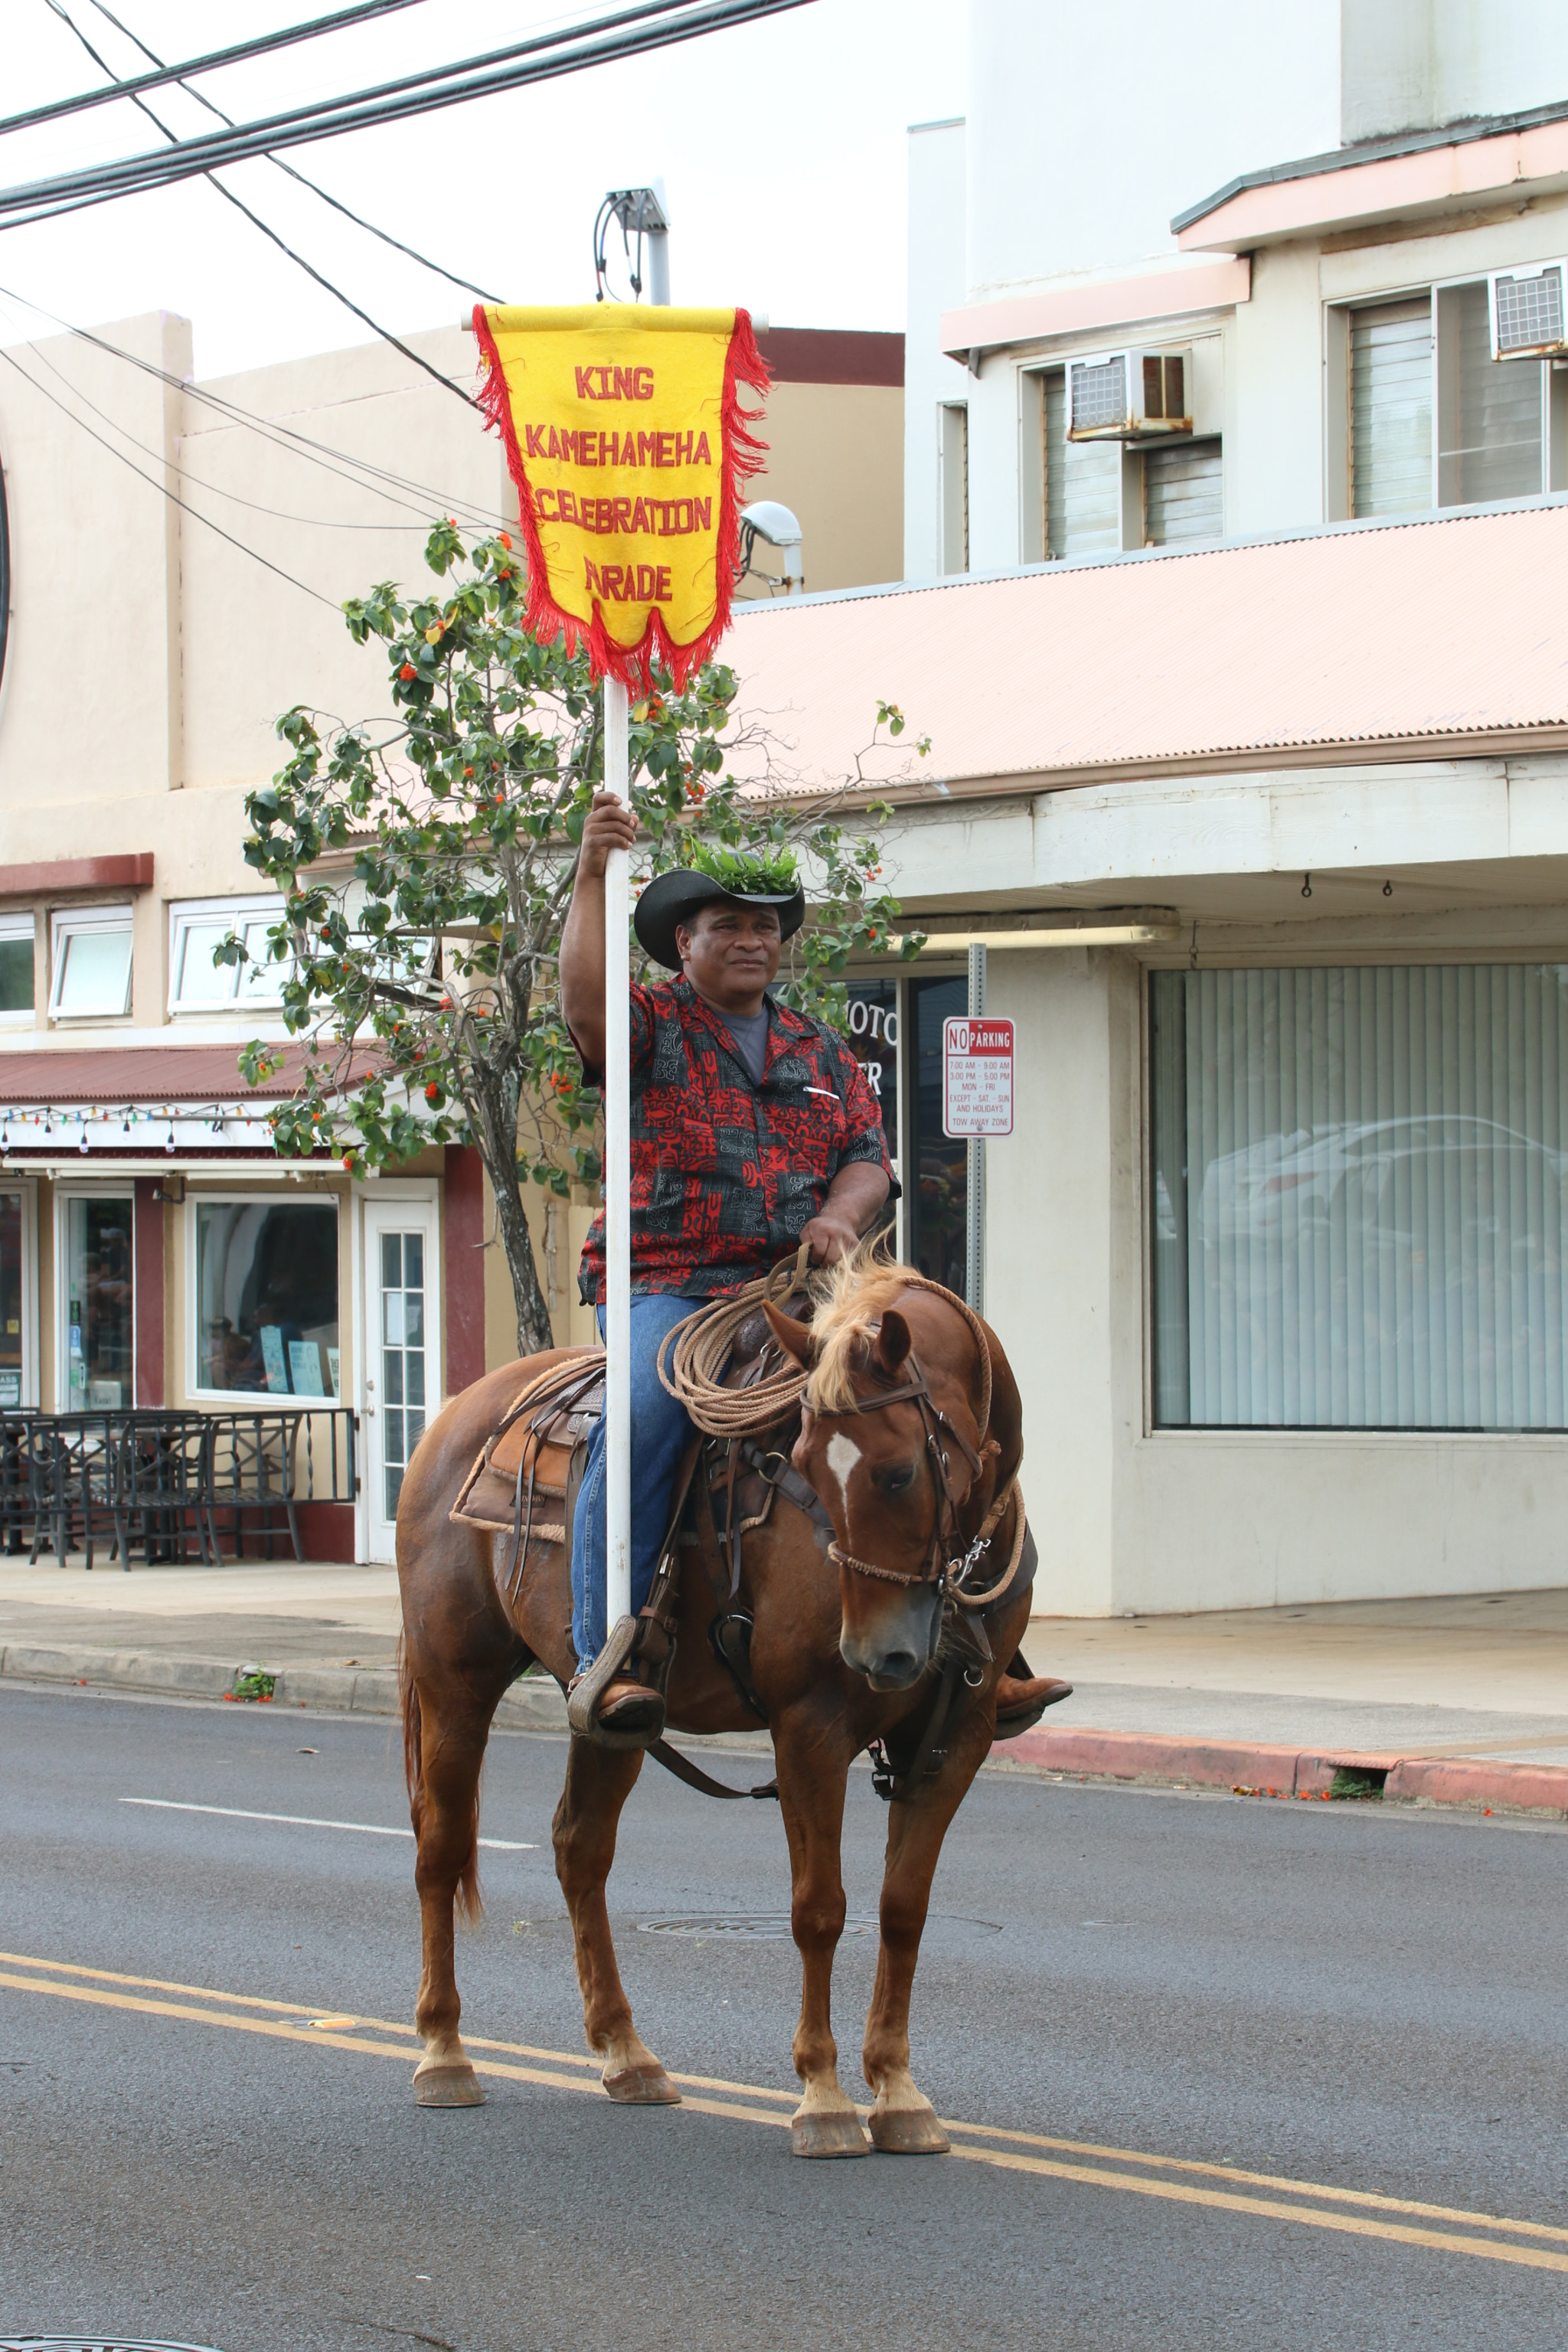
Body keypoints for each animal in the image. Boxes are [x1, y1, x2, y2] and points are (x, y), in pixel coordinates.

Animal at [399, 1260, 1034, 2154]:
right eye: (801, 1465)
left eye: (898, 1471)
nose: (877, 1655)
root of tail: (456, 1412)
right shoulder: (809, 1728)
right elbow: (819, 1910)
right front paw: (824, 2098)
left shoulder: (953, 1741)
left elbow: (902, 1910)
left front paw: (898, 2093)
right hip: (454, 1678)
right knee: (441, 1846)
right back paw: (444, 2053)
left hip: (611, 1721)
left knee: (579, 1848)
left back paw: (626, 2054)